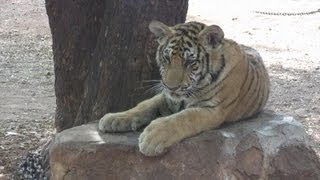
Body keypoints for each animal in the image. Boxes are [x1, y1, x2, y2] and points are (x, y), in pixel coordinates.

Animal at [98, 20, 270, 157]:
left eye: (189, 62)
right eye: (166, 58)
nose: (170, 86)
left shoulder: (213, 109)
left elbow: (183, 118)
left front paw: (152, 138)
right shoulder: (165, 97)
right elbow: (143, 105)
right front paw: (114, 118)